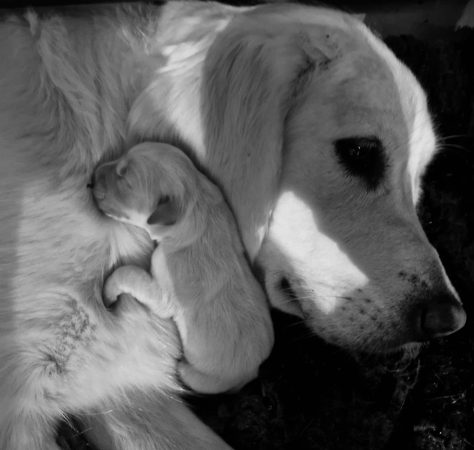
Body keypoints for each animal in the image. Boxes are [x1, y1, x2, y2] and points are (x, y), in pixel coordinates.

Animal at [91, 142, 274, 394]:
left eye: (124, 179)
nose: (91, 178)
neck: (194, 204)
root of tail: (253, 373)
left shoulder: (164, 295)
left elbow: (129, 274)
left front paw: (108, 290)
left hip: (200, 376)